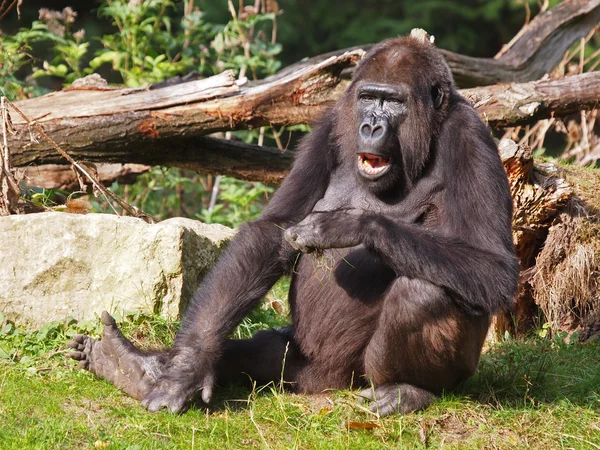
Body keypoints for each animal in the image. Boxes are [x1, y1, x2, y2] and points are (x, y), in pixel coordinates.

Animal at [69, 33, 520, 416]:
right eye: (368, 98)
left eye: (394, 102)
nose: (371, 125)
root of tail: (326, 381)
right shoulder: (330, 123)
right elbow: (272, 230)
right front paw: (186, 368)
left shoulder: (472, 137)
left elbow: (494, 266)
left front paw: (347, 225)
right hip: (303, 364)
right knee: (272, 353)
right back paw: (132, 365)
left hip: (369, 376)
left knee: (424, 294)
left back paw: (410, 390)